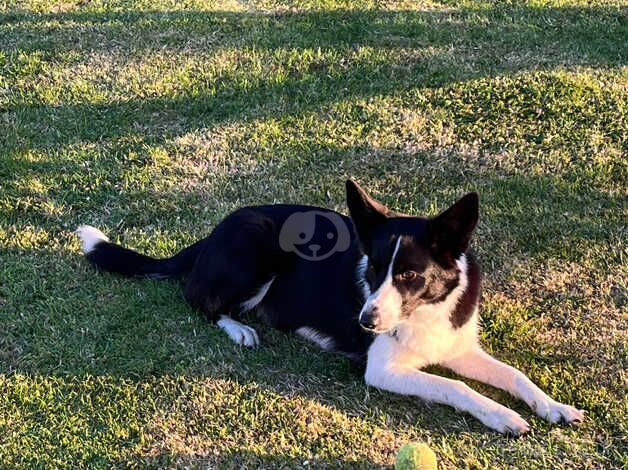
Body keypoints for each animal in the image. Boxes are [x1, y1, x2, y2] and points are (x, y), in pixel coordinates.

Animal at [77, 179, 584, 434]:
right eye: (372, 268)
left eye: (409, 275)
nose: (367, 321)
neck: (424, 312)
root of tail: (215, 230)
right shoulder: (384, 371)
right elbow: (455, 387)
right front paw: (503, 416)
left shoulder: (459, 347)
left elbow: (514, 376)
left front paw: (552, 406)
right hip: (257, 249)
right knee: (199, 300)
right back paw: (239, 329)